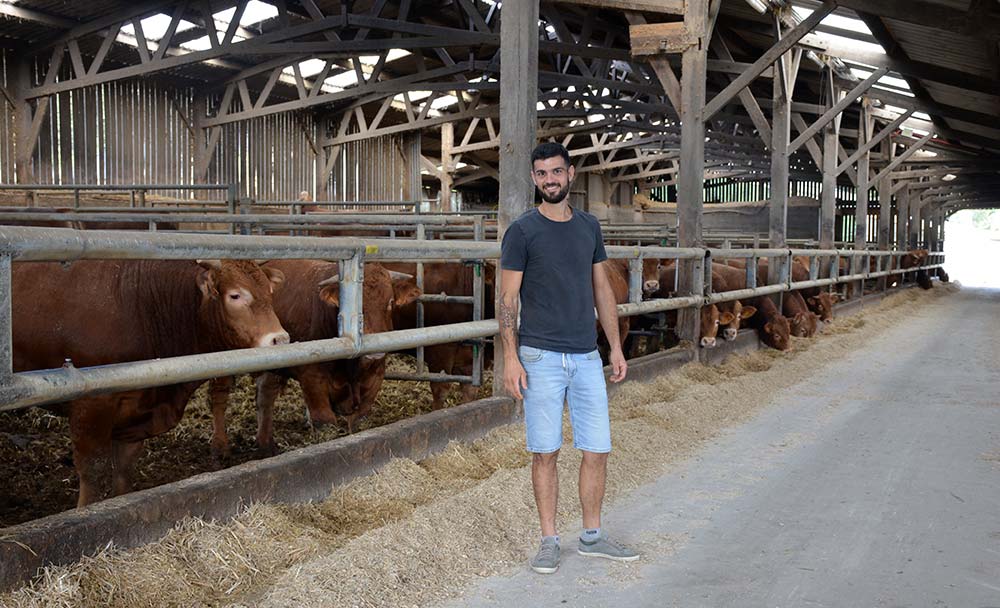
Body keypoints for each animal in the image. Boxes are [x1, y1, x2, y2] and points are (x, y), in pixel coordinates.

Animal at [11, 258, 288, 506]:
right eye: (235, 295)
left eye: (269, 292)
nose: (281, 339)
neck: (141, 305)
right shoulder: (90, 407)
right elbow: (93, 472)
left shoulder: (134, 417)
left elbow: (123, 471)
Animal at [209, 258, 420, 458]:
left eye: (390, 302)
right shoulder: (312, 378)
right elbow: (325, 423)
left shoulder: (375, 376)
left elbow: (359, 421)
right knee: (228, 396)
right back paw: (228, 448)